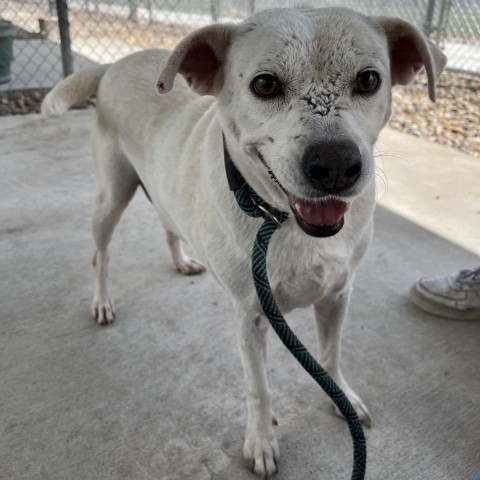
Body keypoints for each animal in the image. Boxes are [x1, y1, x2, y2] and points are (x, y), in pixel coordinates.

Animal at [42, 6, 446, 476]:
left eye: (368, 80)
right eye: (265, 84)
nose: (335, 166)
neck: (281, 222)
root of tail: (115, 63)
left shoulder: (337, 295)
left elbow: (330, 356)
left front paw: (341, 397)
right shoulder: (252, 317)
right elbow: (260, 388)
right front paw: (262, 441)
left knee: (167, 223)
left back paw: (182, 260)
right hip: (110, 197)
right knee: (100, 256)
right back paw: (103, 301)